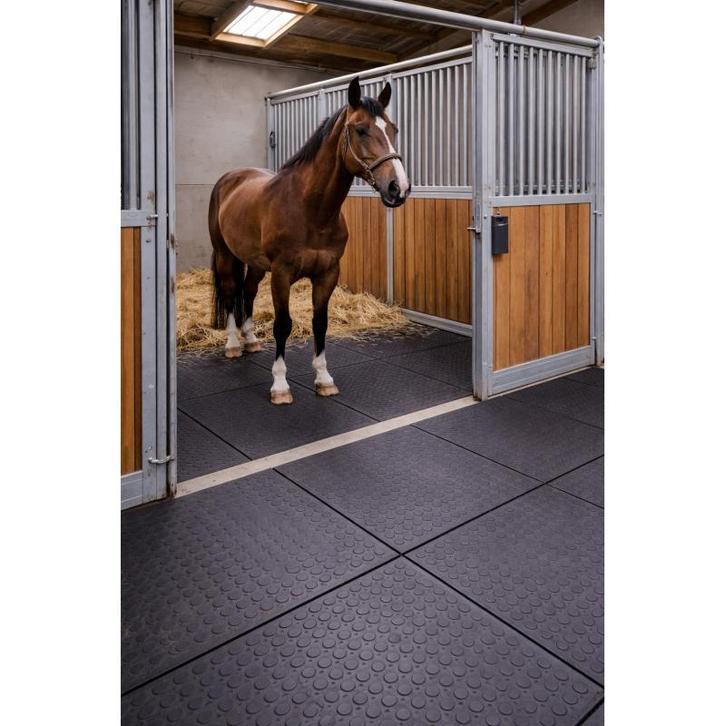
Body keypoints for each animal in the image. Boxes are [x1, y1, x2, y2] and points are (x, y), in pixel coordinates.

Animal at [208, 77, 410, 404]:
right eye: (361, 129)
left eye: (393, 128)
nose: (399, 188)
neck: (310, 208)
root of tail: (230, 178)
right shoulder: (281, 274)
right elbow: (283, 325)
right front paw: (280, 386)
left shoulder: (327, 273)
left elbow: (320, 322)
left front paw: (324, 379)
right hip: (226, 255)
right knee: (229, 293)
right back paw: (233, 344)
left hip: (256, 264)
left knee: (248, 292)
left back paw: (250, 339)